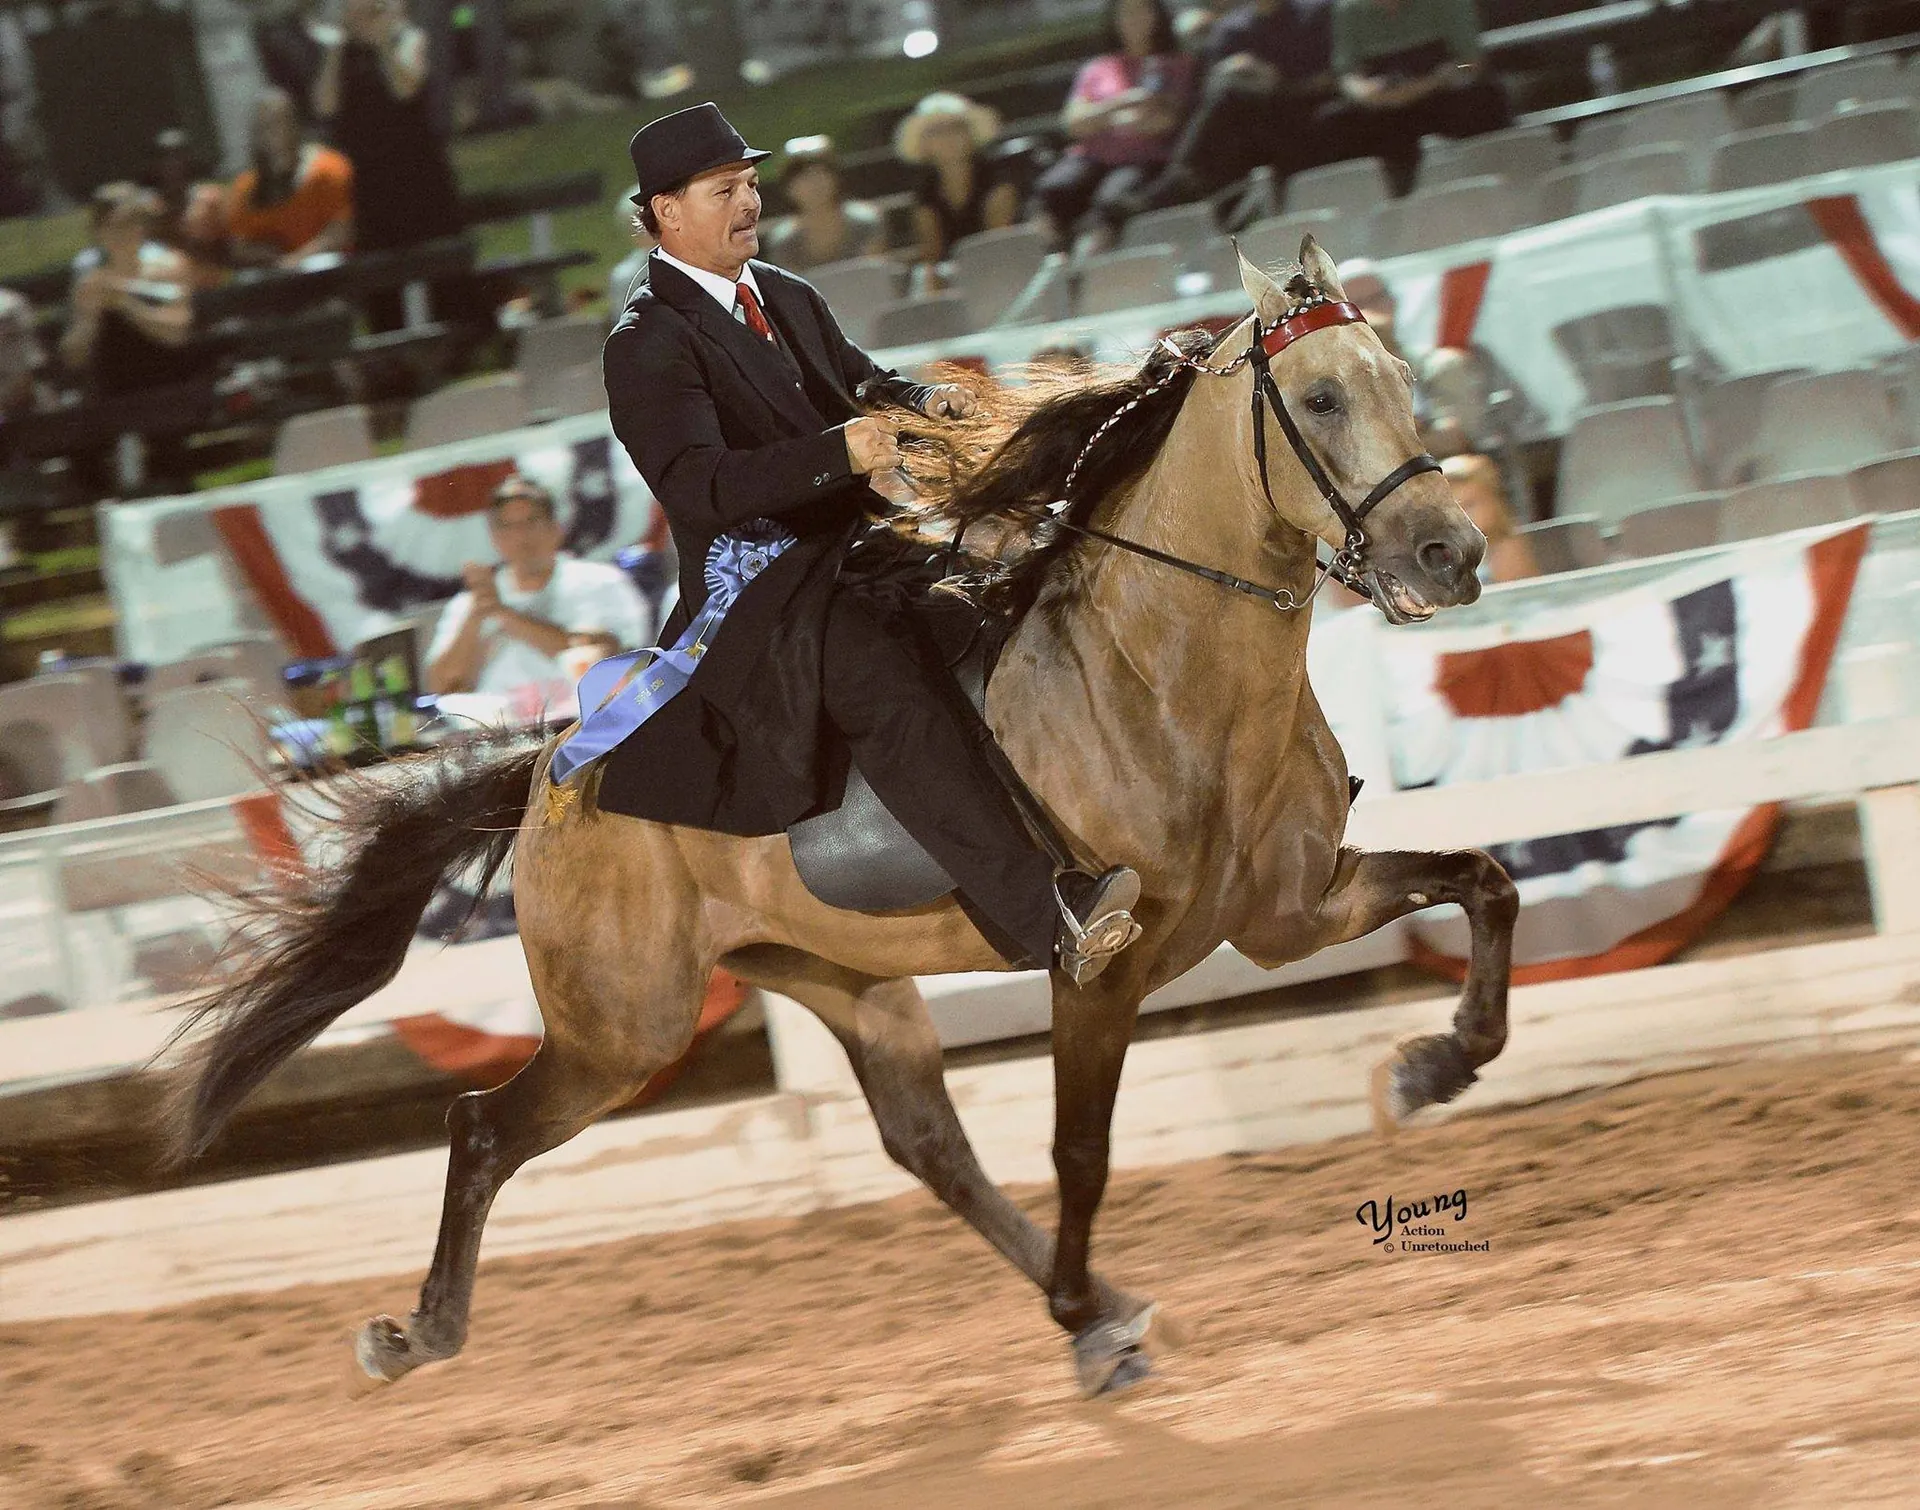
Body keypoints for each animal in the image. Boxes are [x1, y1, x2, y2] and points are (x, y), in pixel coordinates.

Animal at [165, 239, 1516, 1398]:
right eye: (1322, 399)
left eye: (1404, 379)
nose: (1450, 554)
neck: (1159, 671)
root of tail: (554, 767)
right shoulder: (1101, 970)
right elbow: (1081, 1147)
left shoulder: (1293, 909)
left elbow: (1483, 877)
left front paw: (1433, 1064)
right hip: (624, 1026)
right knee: (483, 1129)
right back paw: (412, 1333)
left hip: (839, 979)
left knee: (928, 1145)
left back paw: (1088, 1315)